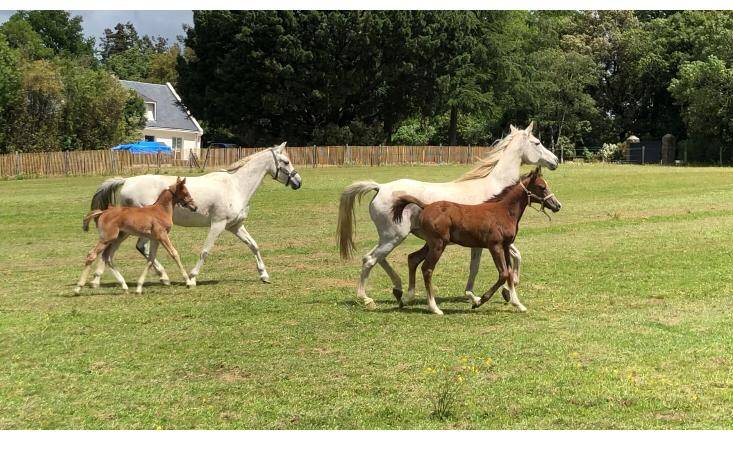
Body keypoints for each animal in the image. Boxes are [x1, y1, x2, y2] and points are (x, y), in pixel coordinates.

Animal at [87, 142, 301, 287]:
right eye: (285, 162)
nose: (298, 182)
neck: (236, 186)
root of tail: (126, 181)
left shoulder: (235, 226)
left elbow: (254, 246)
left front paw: (264, 275)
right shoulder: (218, 224)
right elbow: (205, 251)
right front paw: (192, 277)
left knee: (139, 248)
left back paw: (163, 277)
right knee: (139, 247)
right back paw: (163, 276)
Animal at [391, 167, 561, 315]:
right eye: (542, 187)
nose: (557, 205)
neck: (504, 212)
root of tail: (425, 206)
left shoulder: (505, 246)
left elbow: (510, 274)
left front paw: (518, 304)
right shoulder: (494, 246)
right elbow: (503, 274)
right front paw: (478, 301)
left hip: (431, 243)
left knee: (413, 258)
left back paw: (405, 299)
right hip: (438, 244)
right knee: (427, 268)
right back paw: (434, 308)